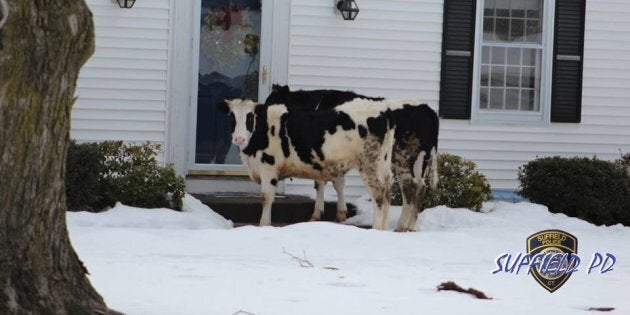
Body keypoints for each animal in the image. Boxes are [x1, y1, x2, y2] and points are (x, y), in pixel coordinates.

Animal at [217, 99, 396, 230]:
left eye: (250, 117)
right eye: (232, 117)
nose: (239, 138)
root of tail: (382, 110)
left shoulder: (268, 167)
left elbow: (266, 197)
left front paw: (263, 225)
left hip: (369, 165)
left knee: (378, 194)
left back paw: (375, 228)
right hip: (382, 165)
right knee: (387, 192)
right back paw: (383, 228)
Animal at [262, 85, 440, 233]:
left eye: (270, 101)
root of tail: (427, 109)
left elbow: (324, 183)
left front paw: (318, 214)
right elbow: (338, 183)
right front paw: (341, 213)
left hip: (403, 158)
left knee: (409, 186)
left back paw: (401, 226)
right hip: (421, 160)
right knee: (420, 187)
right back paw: (410, 226)